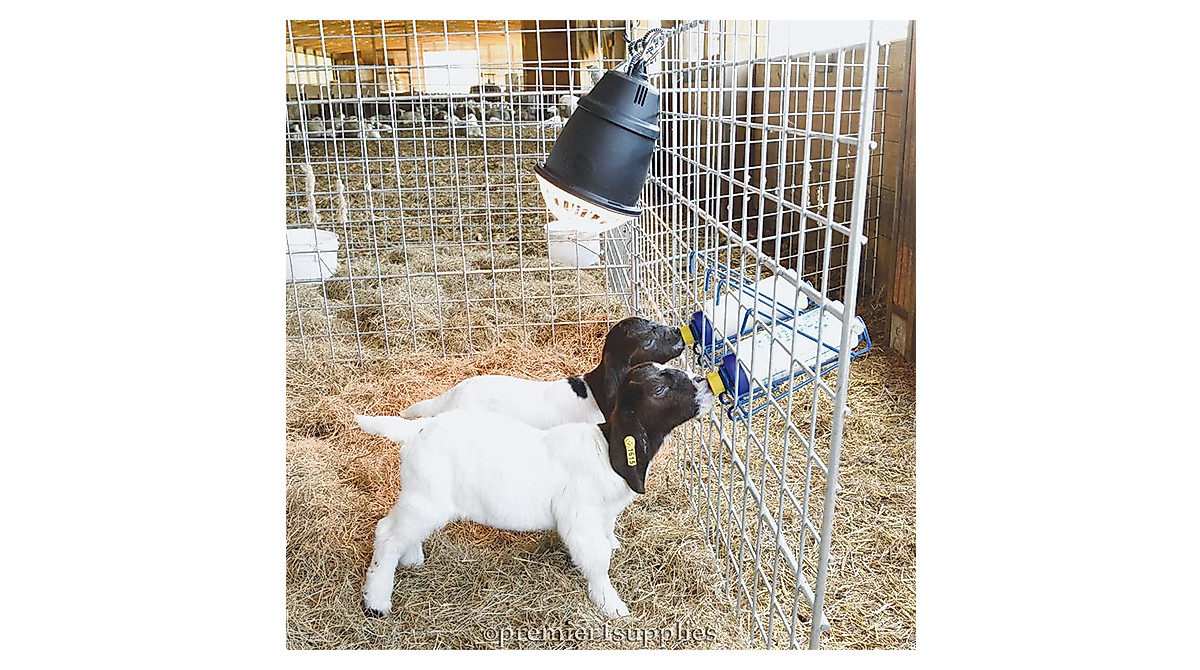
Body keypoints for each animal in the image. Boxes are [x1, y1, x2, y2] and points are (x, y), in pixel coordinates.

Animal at [355, 362, 715, 618]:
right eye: (659, 388)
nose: (706, 384)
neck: (605, 447)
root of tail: (415, 430)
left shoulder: (603, 513)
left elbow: (608, 537)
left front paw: (614, 548)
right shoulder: (580, 517)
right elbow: (596, 559)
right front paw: (611, 604)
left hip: (421, 498)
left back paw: (412, 557)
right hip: (426, 499)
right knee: (387, 533)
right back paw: (377, 601)